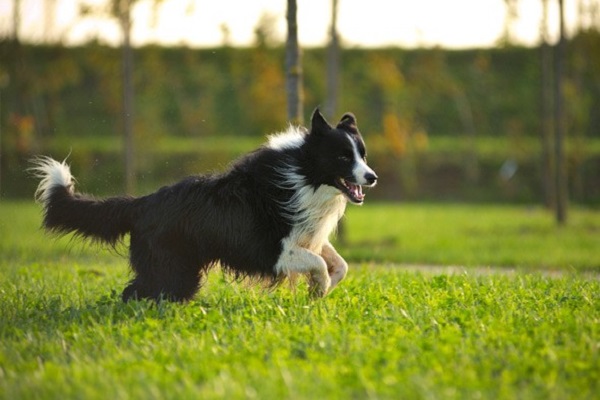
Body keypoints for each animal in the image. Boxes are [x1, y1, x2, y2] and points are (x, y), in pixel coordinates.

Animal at [30, 108, 378, 302]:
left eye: (362, 154)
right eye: (343, 157)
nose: (372, 177)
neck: (304, 174)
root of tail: (142, 203)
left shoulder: (306, 234)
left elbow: (339, 264)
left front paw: (320, 290)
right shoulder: (269, 250)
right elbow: (318, 262)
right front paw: (318, 288)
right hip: (173, 268)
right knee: (138, 292)